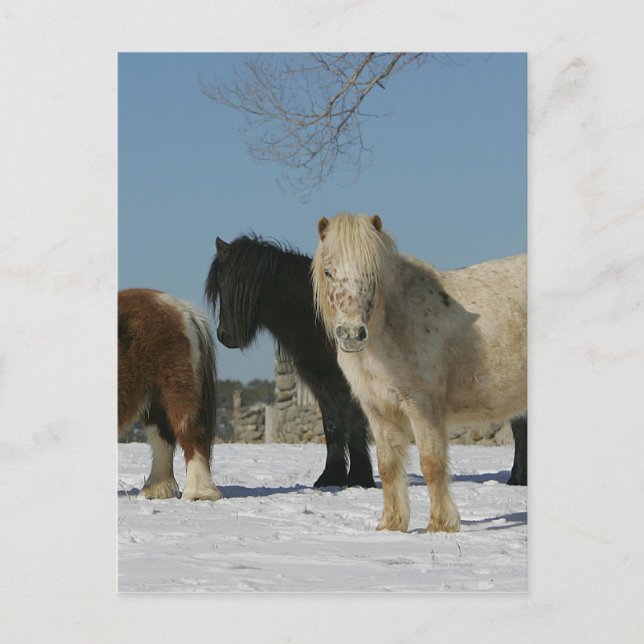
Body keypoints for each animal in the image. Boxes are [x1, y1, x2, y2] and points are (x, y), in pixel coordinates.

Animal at [118, 288, 222, 501]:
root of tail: (182, 308)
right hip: (154, 400)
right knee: (162, 438)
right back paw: (156, 490)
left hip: (175, 390)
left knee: (190, 433)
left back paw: (198, 493)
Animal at [205, 235, 375, 489]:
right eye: (219, 285)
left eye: (234, 285)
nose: (225, 335)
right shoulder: (321, 380)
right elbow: (332, 424)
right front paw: (330, 477)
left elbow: (353, 420)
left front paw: (360, 478)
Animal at [312, 213, 527, 532]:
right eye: (328, 272)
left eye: (373, 272)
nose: (351, 335)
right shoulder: (378, 410)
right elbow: (388, 466)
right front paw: (391, 525)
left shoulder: (422, 405)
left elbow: (431, 463)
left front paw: (440, 525)